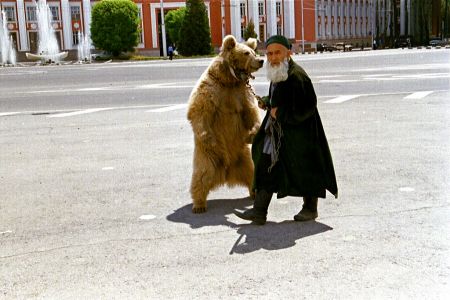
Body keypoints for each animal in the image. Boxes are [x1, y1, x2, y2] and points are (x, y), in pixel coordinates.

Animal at [186, 35, 264, 213]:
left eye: (253, 52)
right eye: (246, 53)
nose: (261, 60)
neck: (230, 80)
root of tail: (226, 172)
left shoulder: (241, 93)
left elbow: (250, 112)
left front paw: (252, 133)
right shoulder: (212, 88)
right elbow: (198, 110)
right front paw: (208, 137)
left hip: (244, 156)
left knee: (252, 171)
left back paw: (254, 192)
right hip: (207, 156)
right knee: (202, 175)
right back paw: (199, 204)